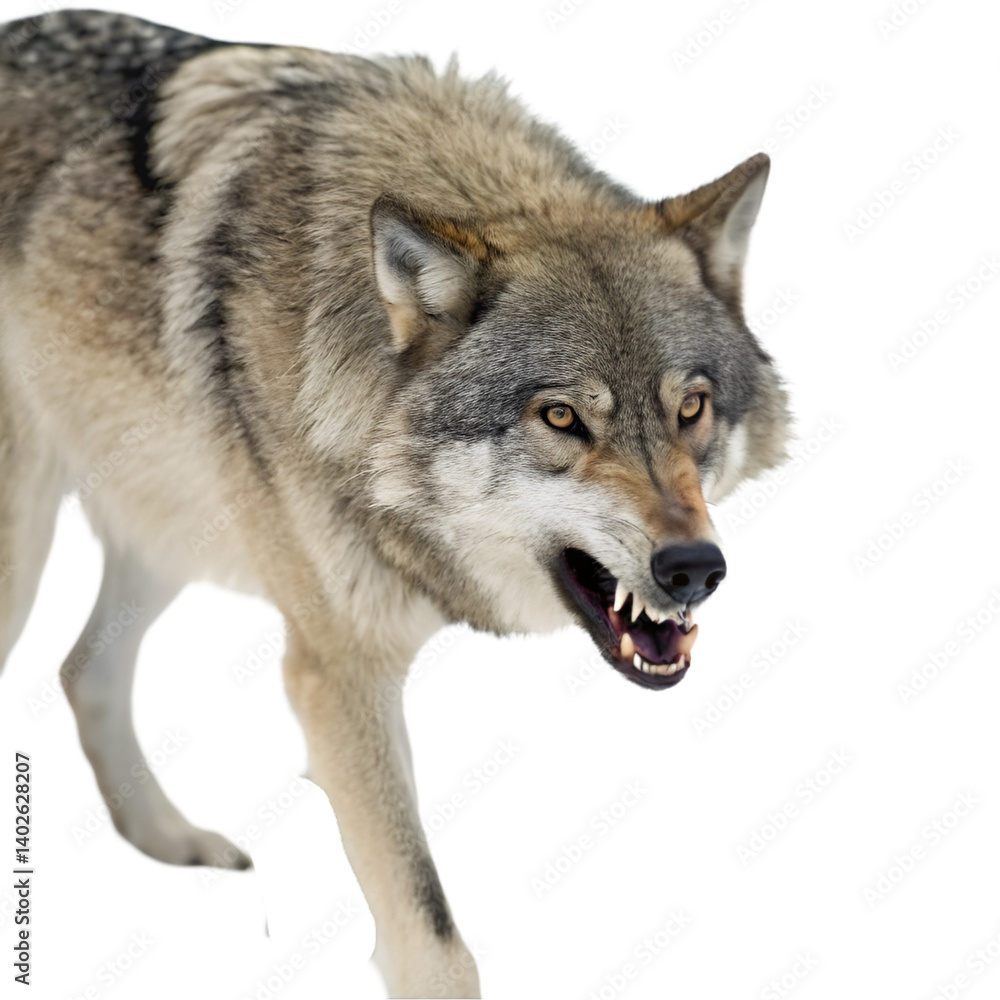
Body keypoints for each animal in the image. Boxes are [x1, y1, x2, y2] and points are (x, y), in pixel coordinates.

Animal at [0, 9, 789, 997]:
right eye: (561, 416)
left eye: (691, 408)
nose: (692, 570)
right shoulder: (338, 672)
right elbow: (430, 932)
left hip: (168, 526)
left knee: (82, 669)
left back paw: (173, 841)